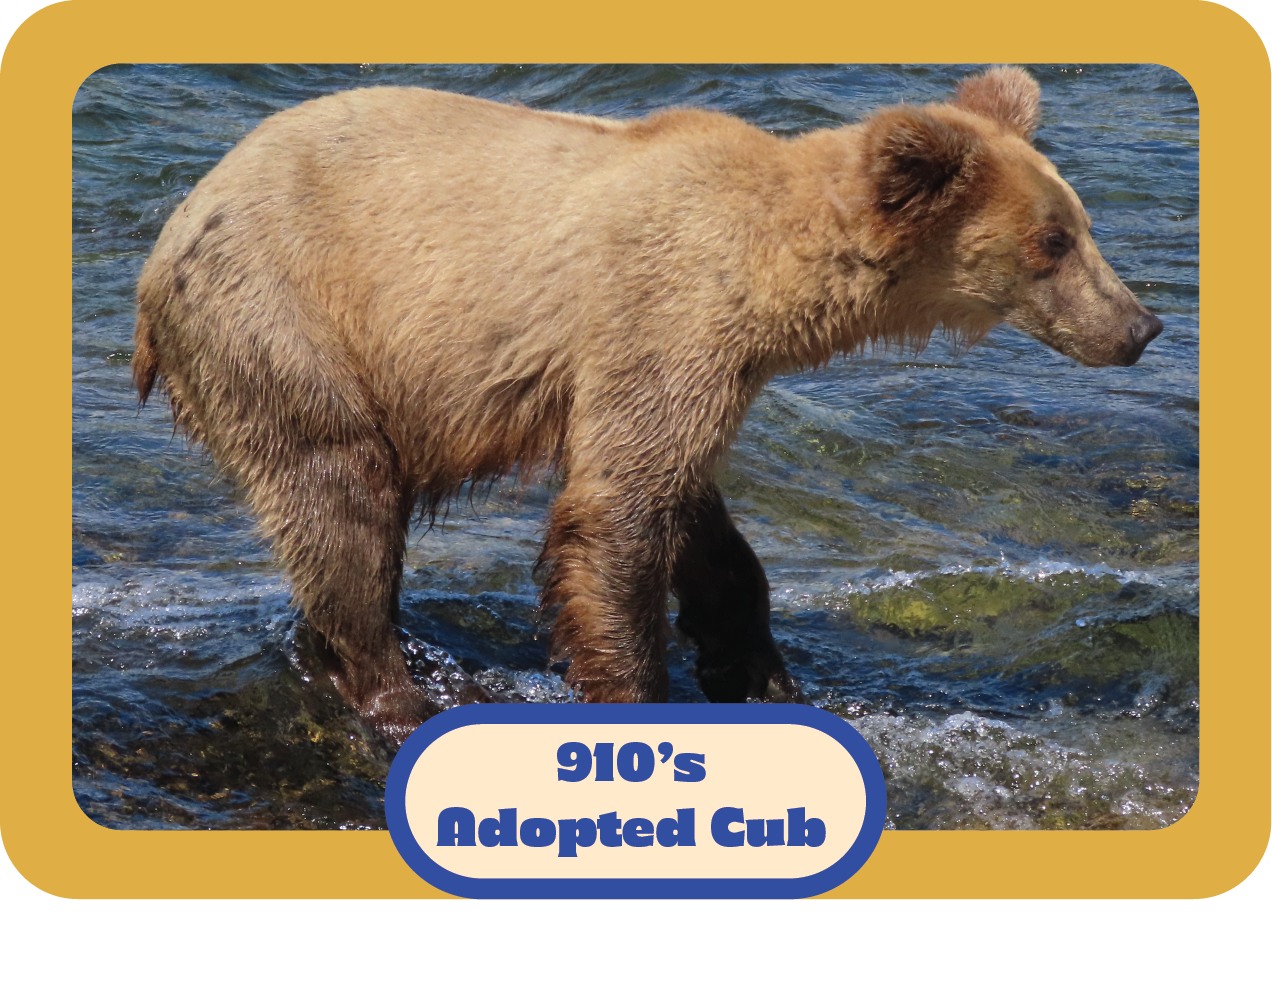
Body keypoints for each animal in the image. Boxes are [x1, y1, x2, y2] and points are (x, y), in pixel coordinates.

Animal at [133, 67, 1161, 744]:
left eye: (1082, 226)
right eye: (1053, 242)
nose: (1141, 324)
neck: (769, 278)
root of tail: (161, 247)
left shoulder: (698, 369)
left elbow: (696, 521)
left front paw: (754, 664)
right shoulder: (656, 316)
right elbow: (618, 515)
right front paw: (638, 689)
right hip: (284, 321)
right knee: (339, 497)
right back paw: (400, 694)